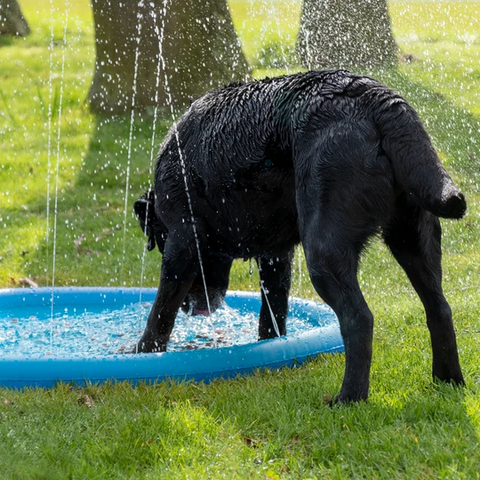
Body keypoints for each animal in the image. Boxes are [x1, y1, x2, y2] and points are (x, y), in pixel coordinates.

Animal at [134, 69, 464, 404]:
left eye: (159, 241)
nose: (192, 309)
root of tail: (377, 99)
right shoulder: (275, 255)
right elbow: (273, 312)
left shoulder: (182, 242)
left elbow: (160, 311)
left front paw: (141, 353)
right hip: (414, 238)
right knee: (439, 309)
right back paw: (447, 381)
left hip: (324, 251)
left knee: (359, 318)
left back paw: (349, 398)